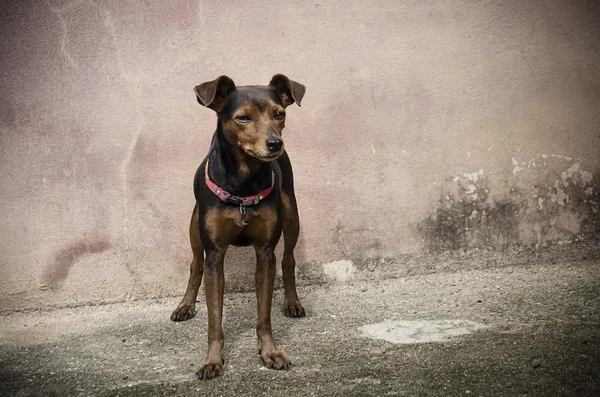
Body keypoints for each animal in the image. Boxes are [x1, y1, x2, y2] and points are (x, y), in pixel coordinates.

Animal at [171, 72, 308, 378]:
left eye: (279, 114)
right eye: (243, 118)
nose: (275, 143)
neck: (243, 180)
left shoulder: (265, 252)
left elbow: (264, 314)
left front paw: (270, 352)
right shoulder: (214, 255)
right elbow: (214, 318)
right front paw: (212, 361)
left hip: (291, 215)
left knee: (289, 259)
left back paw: (292, 302)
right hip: (194, 227)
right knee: (194, 264)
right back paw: (185, 305)